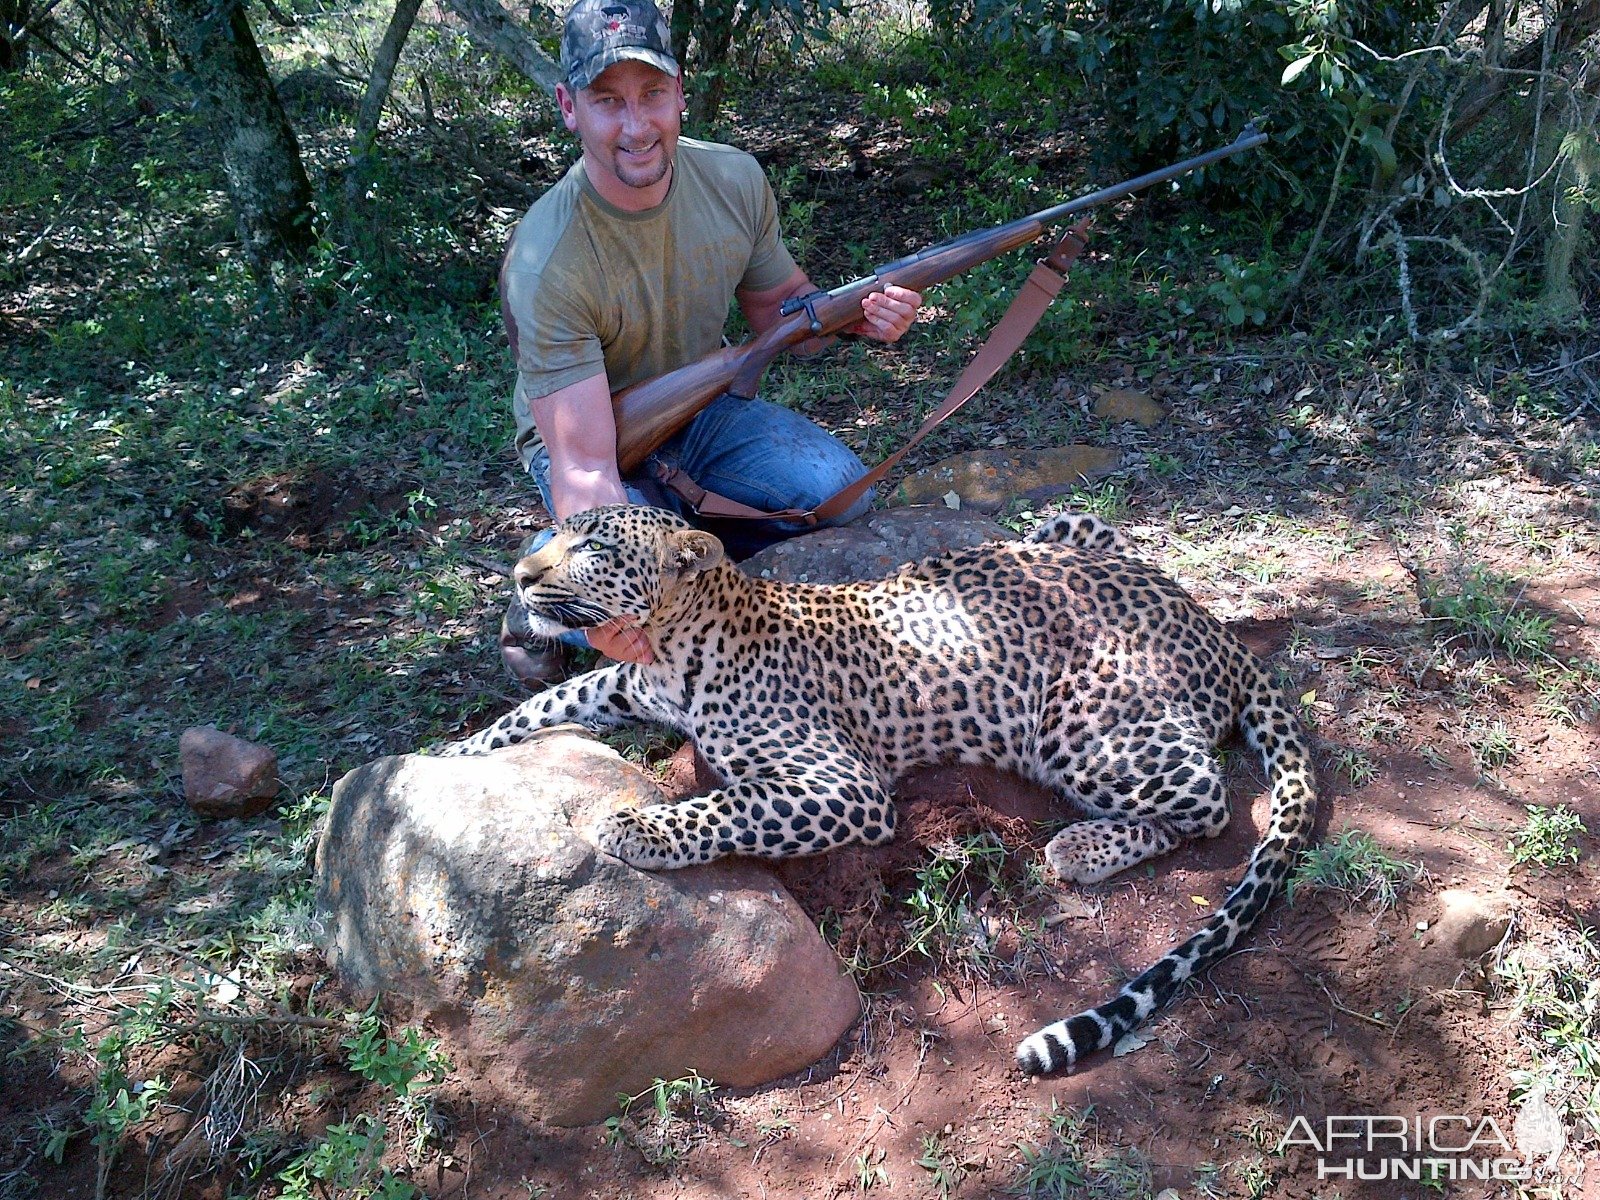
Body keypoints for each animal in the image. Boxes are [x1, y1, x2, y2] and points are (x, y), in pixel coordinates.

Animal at [438, 502, 1312, 1075]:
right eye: (554, 536)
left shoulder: (846, 784)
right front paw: (452, 751)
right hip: (1065, 532)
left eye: (589, 544)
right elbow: (538, 706)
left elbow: (729, 805)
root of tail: (1218, 631)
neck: (673, 642)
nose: (520, 574)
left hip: (1077, 720)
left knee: (1211, 803)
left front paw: (637, 830)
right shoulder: (619, 685)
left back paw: (1083, 846)